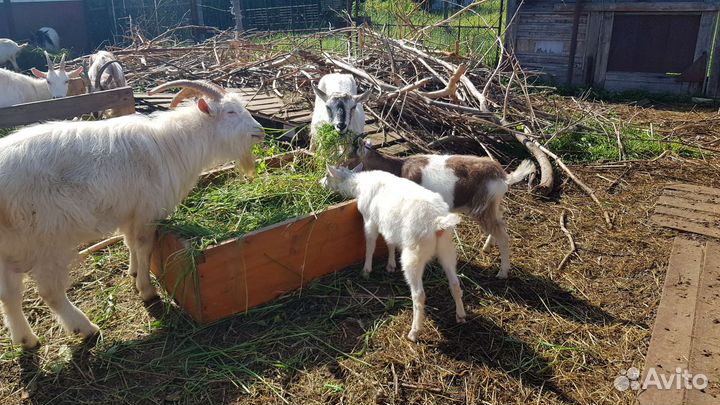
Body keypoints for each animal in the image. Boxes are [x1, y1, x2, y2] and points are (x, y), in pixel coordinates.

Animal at [0, 80, 264, 348]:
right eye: (230, 112)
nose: (260, 131)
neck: (174, 145)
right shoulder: (148, 211)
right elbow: (144, 246)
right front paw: (147, 290)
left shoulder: (130, 212)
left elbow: (130, 243)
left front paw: (134, 272)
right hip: (45, 240)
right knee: (49, 292)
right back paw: (85, 328)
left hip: (10, 246)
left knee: (9, 295)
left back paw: (26, 339)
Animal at [322, 165, 466, 342]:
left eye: (327, 176)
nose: (320, 183)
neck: (359, 184)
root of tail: (438, 222)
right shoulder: (387, 225)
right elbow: (389, 242)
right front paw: (390, 265)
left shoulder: (370, 221)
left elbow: (370, 244)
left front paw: (366, 270)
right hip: (447, 248)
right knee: (455, 283)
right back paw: (461, 316)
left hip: (414, 255)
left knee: (419, 294)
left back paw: (414, 332)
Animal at [357, 142, 535, 279]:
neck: (397, 169)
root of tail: (504, 177)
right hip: (492, 205)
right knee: (501, 220)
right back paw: (487, 246)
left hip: (483, 208)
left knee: (503, 236)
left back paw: (502, 272)